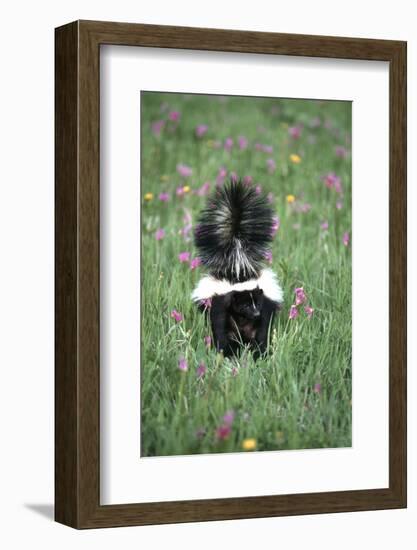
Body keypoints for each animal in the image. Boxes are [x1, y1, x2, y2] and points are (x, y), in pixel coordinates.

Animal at [191, 181, 282, 360]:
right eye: (244, 305)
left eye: (257, 303)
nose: (255, 314)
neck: (242, 319)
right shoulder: (220, 307)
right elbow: (221, 331)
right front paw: (226, 352)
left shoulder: (265, 308)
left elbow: (262, 332)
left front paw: (260, 353)